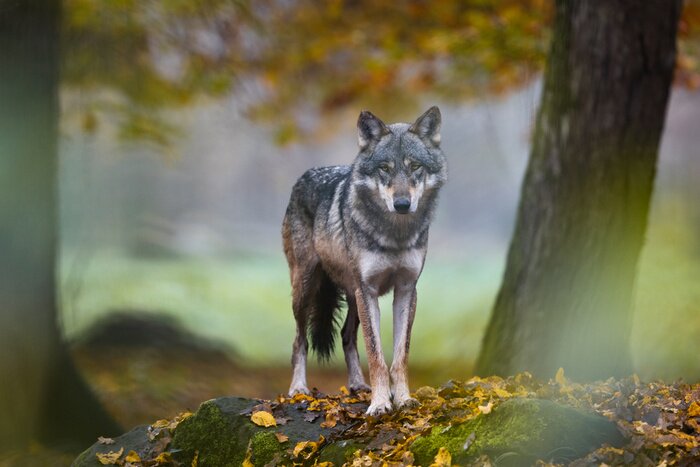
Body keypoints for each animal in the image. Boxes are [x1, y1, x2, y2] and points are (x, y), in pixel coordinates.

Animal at [282, 107, 446, 415]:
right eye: (385, 168)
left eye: (415, 167)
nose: (402, 204)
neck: (395, 234)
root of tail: (302, 177)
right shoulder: (367, 290)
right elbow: (376, 354)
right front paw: (380, 404)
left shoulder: (405, 291)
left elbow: (399, 356)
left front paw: (403, 399)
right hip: (308, 289)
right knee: (300, 340)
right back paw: (298, 389)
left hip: (352, 295)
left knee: (346, 336)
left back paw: (358, 385)